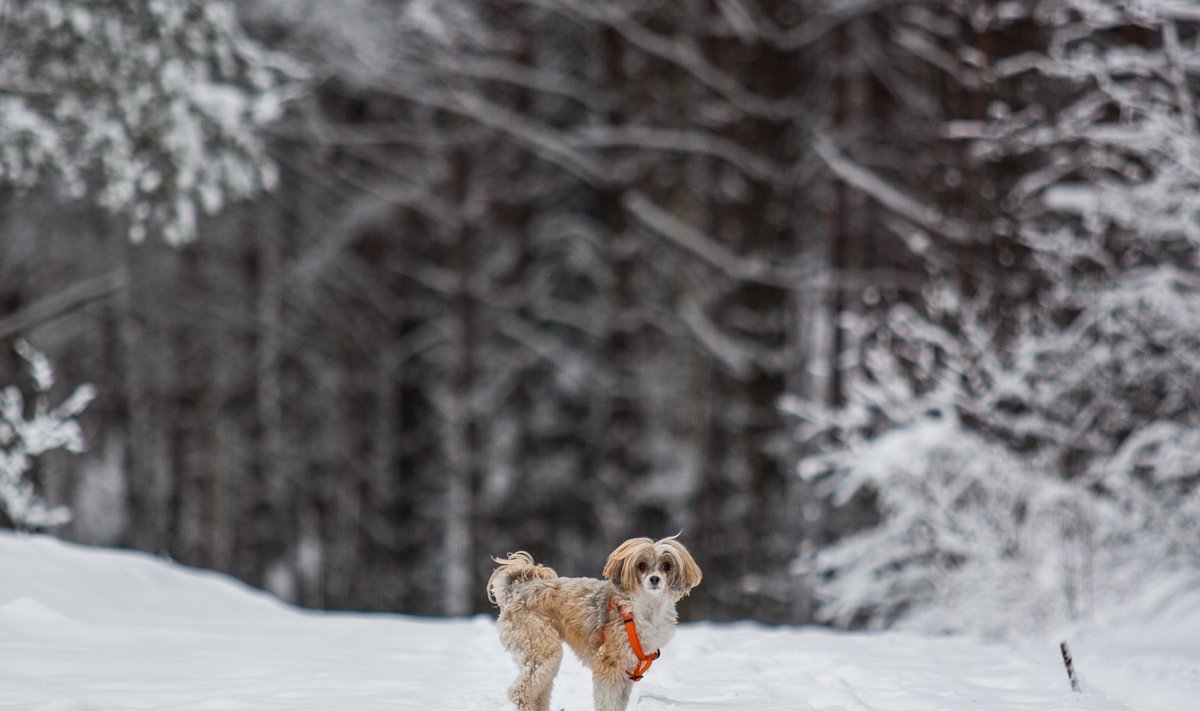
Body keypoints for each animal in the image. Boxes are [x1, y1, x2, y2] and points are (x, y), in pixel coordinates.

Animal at [484, 535, 700, 706]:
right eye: (641, 566)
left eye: (666, 566)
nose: (655, 579)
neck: (643, 609)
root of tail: (515, 592)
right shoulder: (609, 665)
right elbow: (608, 702)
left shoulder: (627, 670)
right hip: (542, 648)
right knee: (520, 693)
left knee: (538, 694)